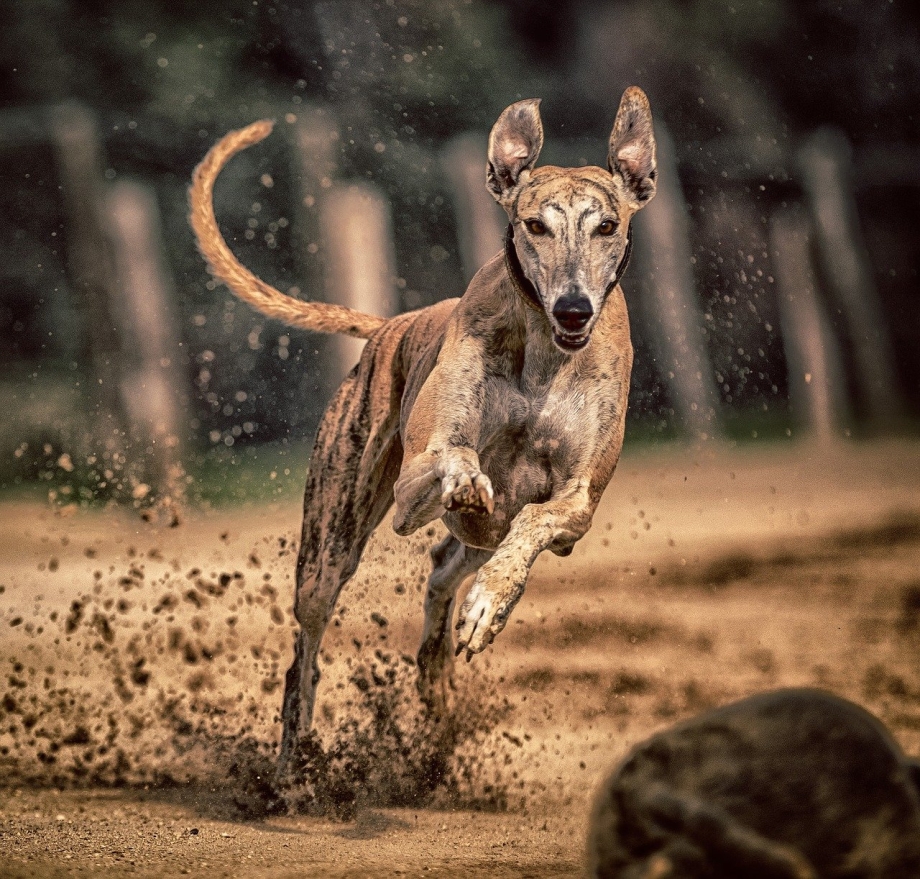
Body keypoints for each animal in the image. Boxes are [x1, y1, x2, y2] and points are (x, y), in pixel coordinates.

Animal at [190, 87, 656, 776]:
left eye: (608, 226)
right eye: (534, 225)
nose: (574, 310)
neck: (545, 352)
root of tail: (390, 326)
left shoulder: (577, 503)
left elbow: (533, 524)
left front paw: (490, 604)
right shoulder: (417, 475)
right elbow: (450, 461)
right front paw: (465, 478)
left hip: (464, 541)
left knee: (447, 569)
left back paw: (440, 673)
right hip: (329, 546)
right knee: (306, 653)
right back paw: (294, 765)